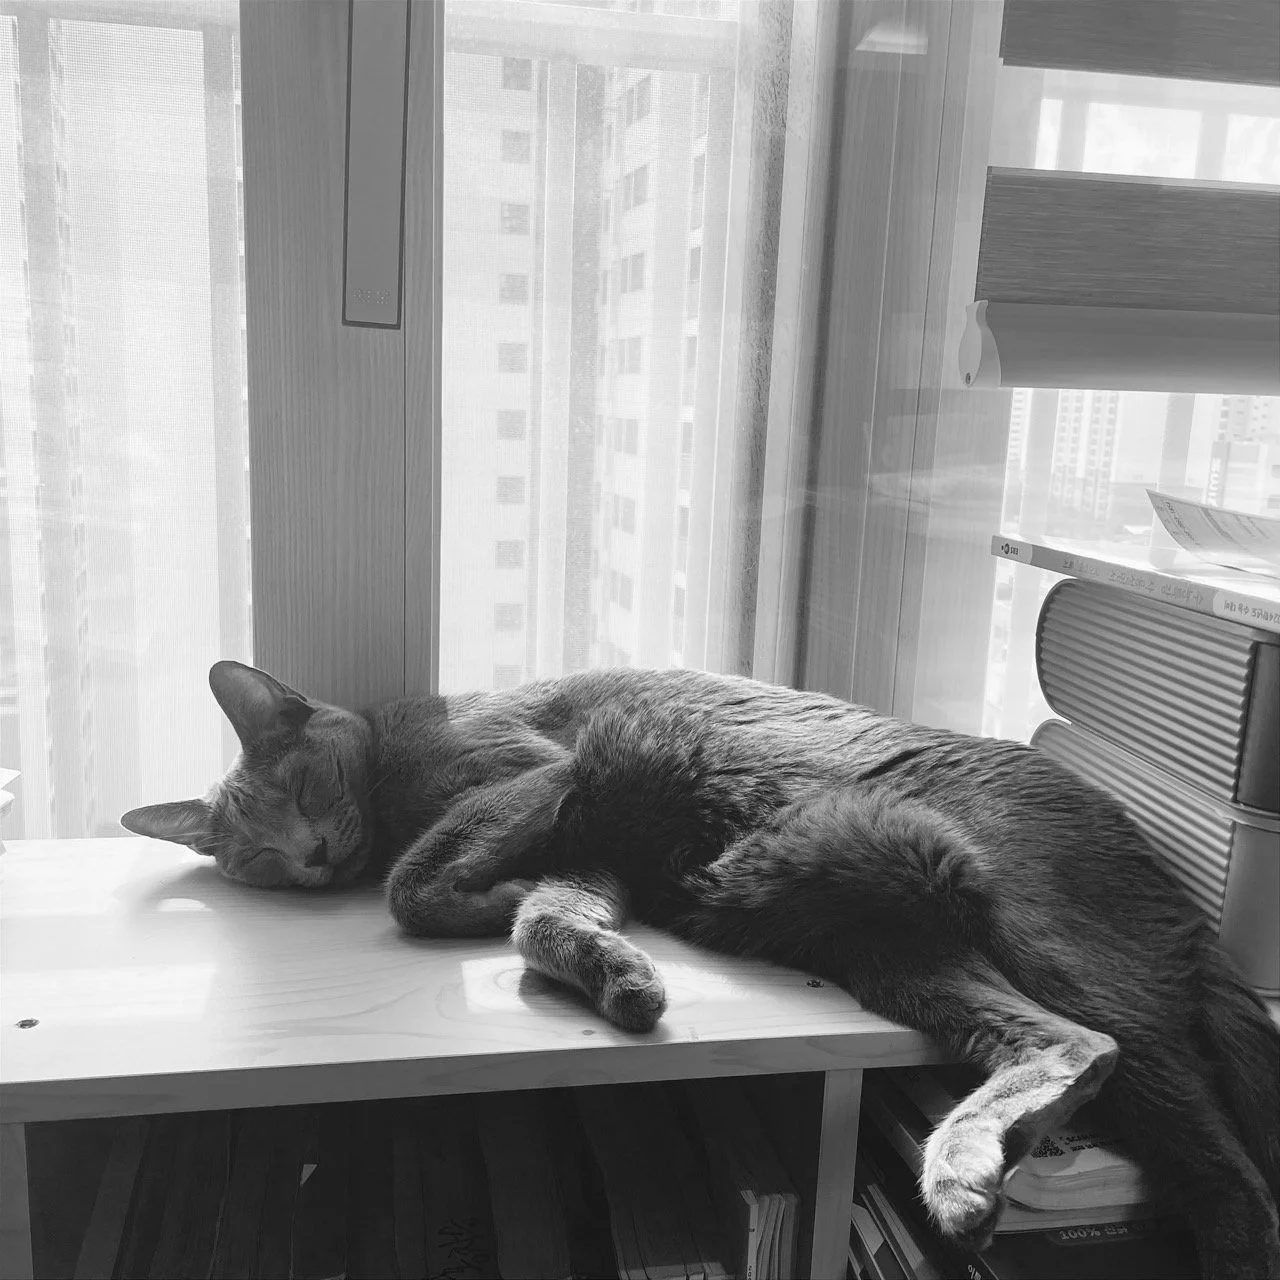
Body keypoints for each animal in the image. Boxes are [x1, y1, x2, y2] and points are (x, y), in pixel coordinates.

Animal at [122, 659, 1280, 1279]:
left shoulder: (530, 774)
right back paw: (960, 1178)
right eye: (258, 856)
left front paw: (471, 895)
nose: (314, 855)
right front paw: (615, 973)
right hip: (885, 949)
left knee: (1203, 1130)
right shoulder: (583, 851)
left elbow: (412, 883)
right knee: (1075, 1047)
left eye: (305, 790)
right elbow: (547, 920)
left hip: (1041, 929)